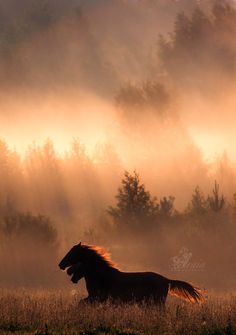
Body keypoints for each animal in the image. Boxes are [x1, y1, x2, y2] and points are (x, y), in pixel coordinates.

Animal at [58, 243, 203, 306]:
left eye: (72, 252)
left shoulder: (97, 298)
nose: (61, 265)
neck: (102, 275)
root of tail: (167, 280)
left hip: (156, 303)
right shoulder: (95, 298)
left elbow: (81, 304)